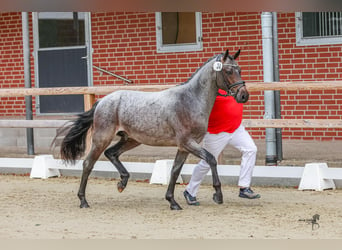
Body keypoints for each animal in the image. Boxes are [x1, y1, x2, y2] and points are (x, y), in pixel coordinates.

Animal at [56, 48, 248, 209]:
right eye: (228, 71)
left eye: (239, 69)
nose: (244, 95)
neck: (189, 100)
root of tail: (102, 101)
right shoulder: (187, 142)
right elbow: (211, 159)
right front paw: (218, 195)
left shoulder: (184, 147)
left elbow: (175, 171)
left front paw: (172, 202)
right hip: (102, 138)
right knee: (88, 163)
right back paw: (83, 200)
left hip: (131, 139)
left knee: (111, 153)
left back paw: (122, 183)